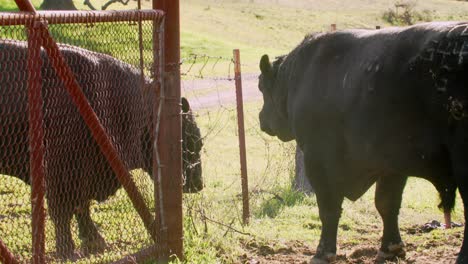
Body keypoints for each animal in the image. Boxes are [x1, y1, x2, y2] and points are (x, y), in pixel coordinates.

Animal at [0, 41, 201, 260]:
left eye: (198, 143)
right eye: (187, 140)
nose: (197, 184)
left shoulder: (85, 172)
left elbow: (82, 207)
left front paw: (95, 241)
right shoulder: (60, 173)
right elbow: (63, 211)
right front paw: (67, 250)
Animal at [258, 21, 468, 262]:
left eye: (261, 87)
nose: (261, 119)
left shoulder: (318, 159)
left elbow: (328, 207)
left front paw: (323, 252)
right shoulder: (392, 163)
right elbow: (387, 204)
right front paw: (391, 248)